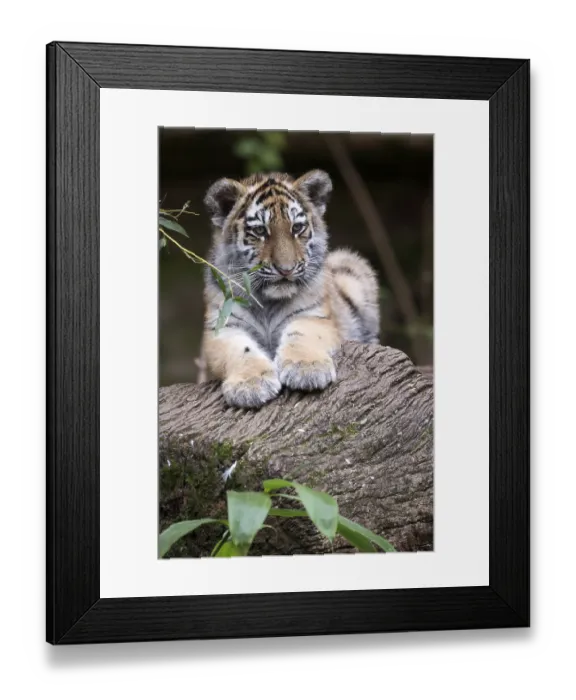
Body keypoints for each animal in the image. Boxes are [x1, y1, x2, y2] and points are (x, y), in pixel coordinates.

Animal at [201, 169, 380, 409]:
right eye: (260, 230)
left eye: (297, 228)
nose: (286, 269)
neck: (267, 301)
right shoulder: (222, 326)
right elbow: (240, 350)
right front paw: (251, 385)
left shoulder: (313, 315)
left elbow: (300, 334)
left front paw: (307, 369)